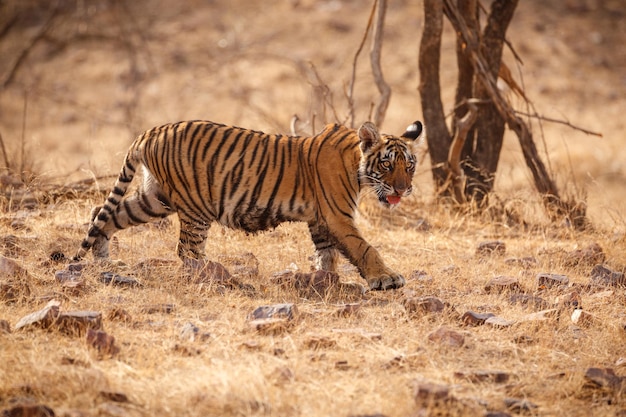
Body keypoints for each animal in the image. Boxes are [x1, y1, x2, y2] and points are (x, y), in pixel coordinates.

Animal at [73, 118, 424, 290]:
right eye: (387, 164)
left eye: (409, 165)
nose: (404, 190)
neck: (356, 163)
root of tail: (149, 132)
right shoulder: (337, 215)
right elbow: (364, 247)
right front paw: (386, 279)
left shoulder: (320, 220)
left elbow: (327, 254)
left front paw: (326, 281)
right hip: (194, 206)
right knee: (187, 251)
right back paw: (221, 279)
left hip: (155, 199)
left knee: (103, 213)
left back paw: (105, 262)